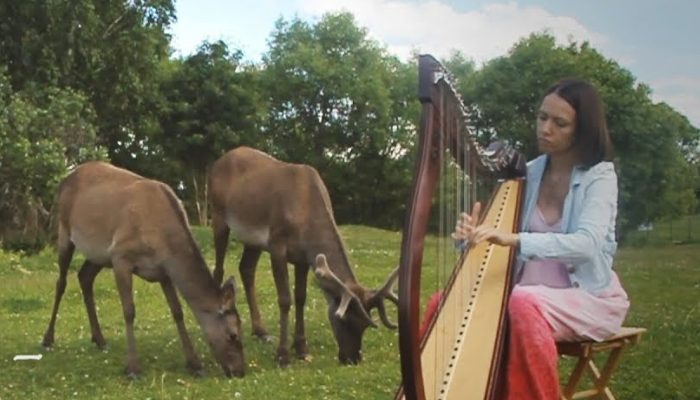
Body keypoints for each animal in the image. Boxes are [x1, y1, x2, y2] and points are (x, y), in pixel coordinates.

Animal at [42, 162, 246, 378]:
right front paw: (133, 368)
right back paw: (48, 339)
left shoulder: (163, 272)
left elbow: (177, 311)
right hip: (64, 231)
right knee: (61, 282)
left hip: (99, 254)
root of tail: (65, 179)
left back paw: (99, 339)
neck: (162, 243)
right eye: (233, 335)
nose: (240, 371)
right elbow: (129, 311)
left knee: (85, 276)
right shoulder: (121, 256)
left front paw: (195, 364)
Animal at [208, 146, 396, 366]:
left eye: (364, 326)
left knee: (246, 268)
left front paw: (302, 348)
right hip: (218, 215)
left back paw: (261, 331)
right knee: (219, 268)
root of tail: (218, 161)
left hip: (253, 239)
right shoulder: (277, 245)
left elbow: (300, 297)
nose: (352, 358)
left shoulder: (302, 257)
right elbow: (285, 299)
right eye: (344, 319)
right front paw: (283, 355)